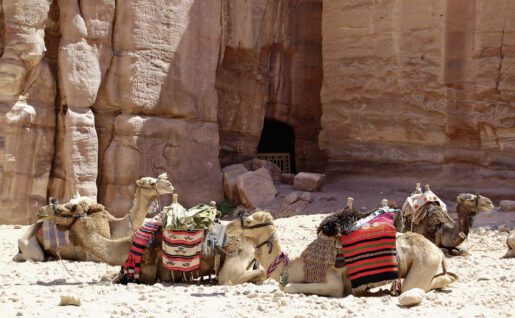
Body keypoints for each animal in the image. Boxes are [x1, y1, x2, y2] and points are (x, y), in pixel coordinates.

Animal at [13, 175, 174, 262]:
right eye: (151, 182)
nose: (170, 185)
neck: (117, 226)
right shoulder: (92, 255)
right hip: (30, 246)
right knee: (31, 257)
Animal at [228, 211, 458, 306]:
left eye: (249, 221)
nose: (228, 226)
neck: (297, 265)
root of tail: (438, 252)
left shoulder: (333, 282)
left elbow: (289, 286)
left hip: (423, 265)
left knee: (417, 286)